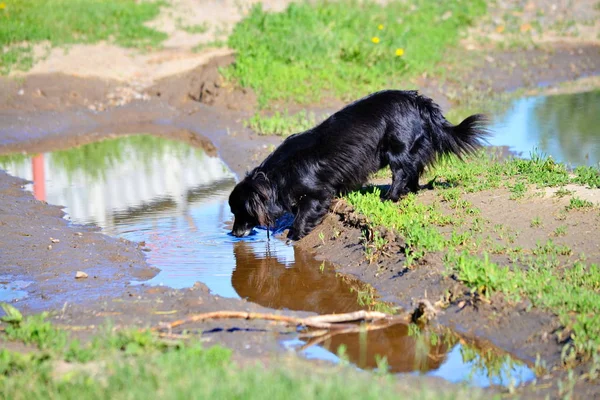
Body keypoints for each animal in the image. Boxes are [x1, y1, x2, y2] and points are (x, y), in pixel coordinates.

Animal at [229, 90, 488, 241]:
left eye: (239, 212)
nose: (233, 233)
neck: (273, 178)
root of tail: (418, 101)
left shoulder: (317, 193)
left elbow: (304, 215)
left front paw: (293, 235)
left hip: (397, 146)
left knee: (402, 172)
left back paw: (390, 197)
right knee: (414, 169)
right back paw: (411, 191)